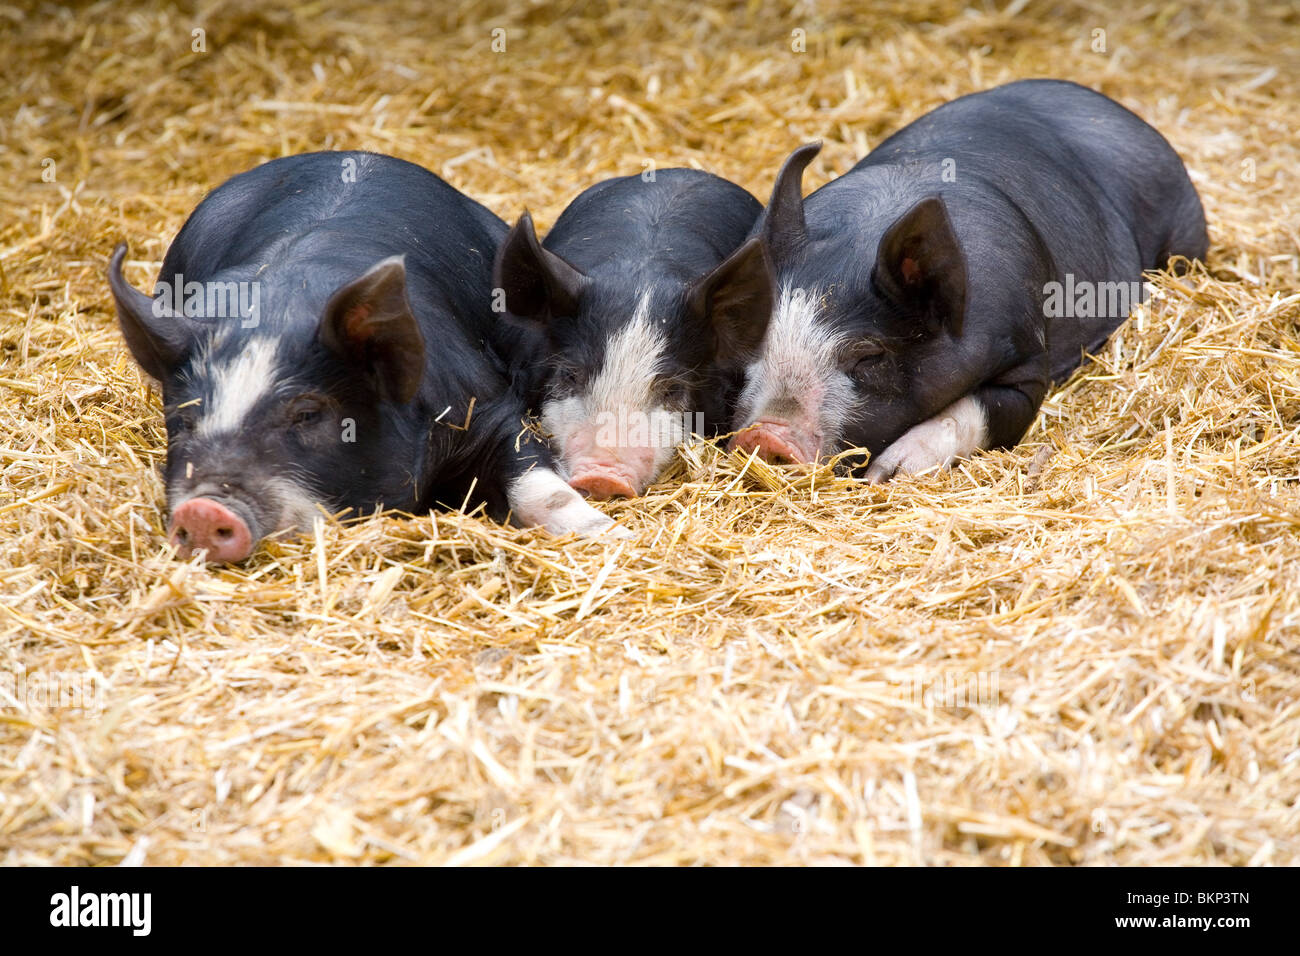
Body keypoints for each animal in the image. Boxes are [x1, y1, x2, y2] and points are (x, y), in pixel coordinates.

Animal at [106, 149, 624, 561]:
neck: (281, 306)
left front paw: (605, 534)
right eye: (183, 418)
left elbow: (534, 475)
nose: (201, 508)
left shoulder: (485, 404)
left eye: (308, 413)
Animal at [702, 81, 1206, 481]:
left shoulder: (1027, 357)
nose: (765, 437)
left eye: (869, 355)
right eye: (754, 342)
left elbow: (980, 411)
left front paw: (890, 472)